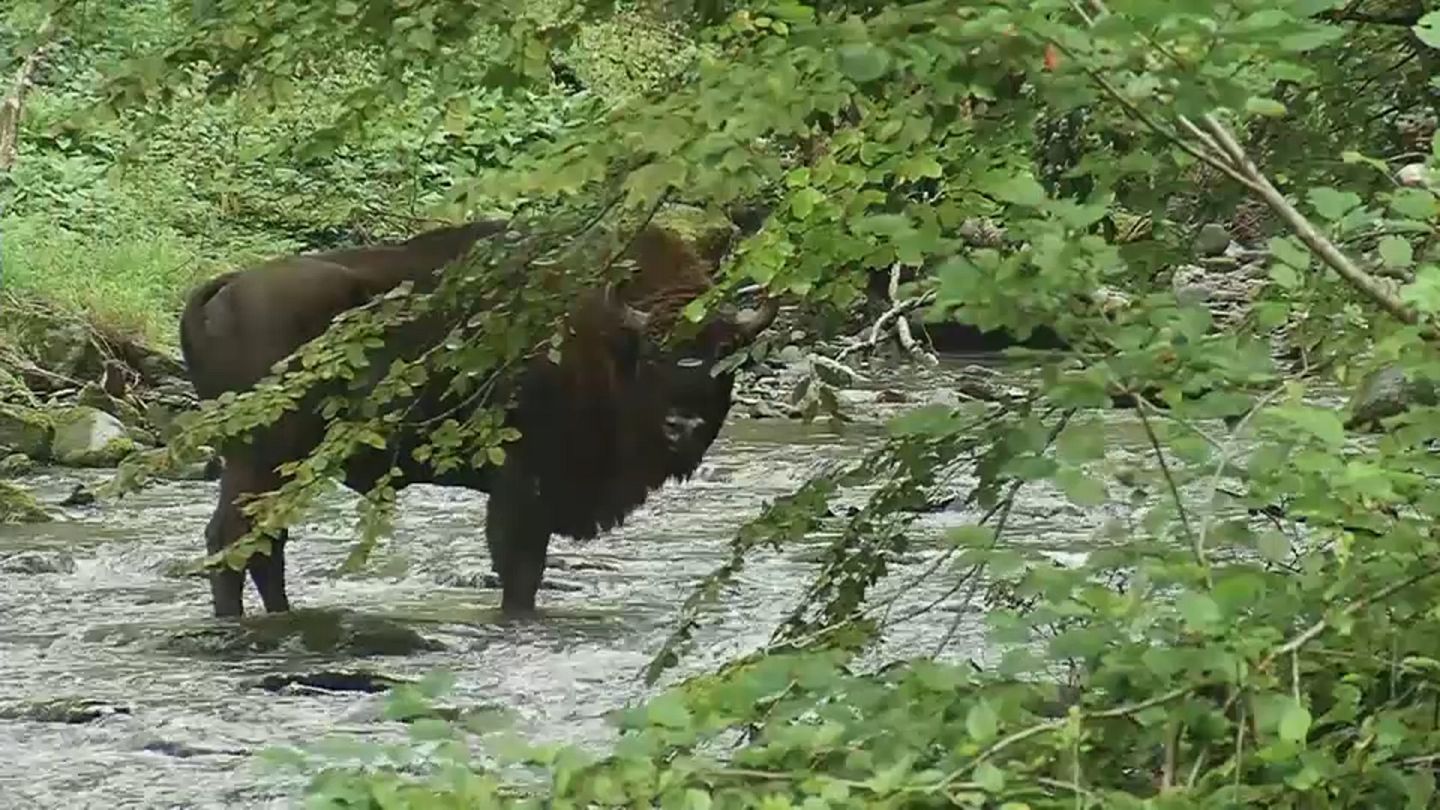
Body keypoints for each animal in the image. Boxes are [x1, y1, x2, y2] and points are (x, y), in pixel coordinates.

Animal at [187, 211, 789, 613]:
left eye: (725, 356)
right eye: (654, 355)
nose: (682, 426)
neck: (607, 339)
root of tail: (227, 287)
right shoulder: (524, 485)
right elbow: (519, 569)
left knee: (264, 546)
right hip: (258, 460)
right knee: (231, 540)